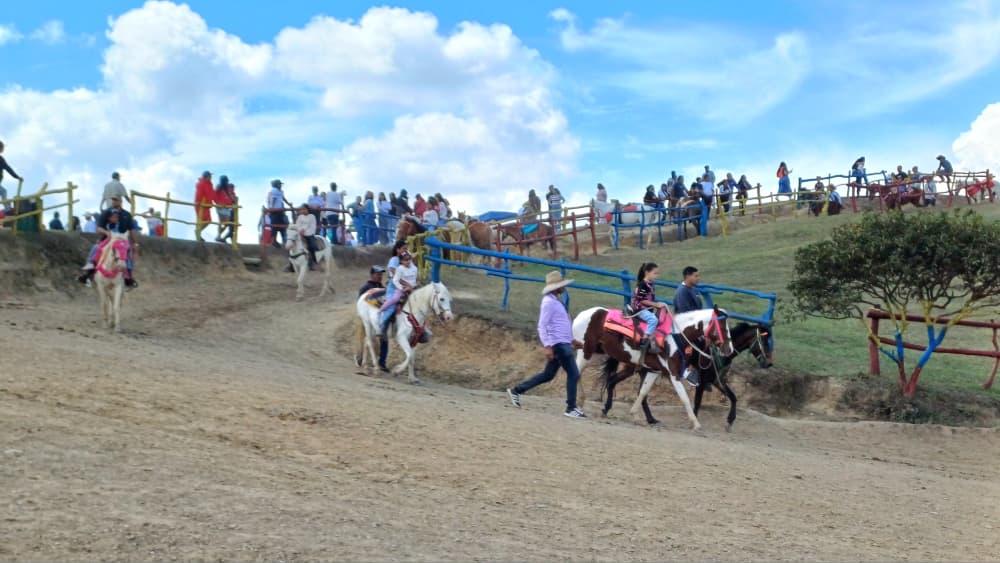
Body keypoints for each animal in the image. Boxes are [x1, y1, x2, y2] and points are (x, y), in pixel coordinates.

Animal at [573, 305, 734, 430]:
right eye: (723, 326)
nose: (729, 349)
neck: (674, 338)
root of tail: (581, 314)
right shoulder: (674, 374)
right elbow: (684, 398)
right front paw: (696, 424)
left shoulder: (654, 371)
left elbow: (643, 392)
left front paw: (635, 415)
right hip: (586, 351)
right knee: (576, 371)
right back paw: (579, 402)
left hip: (598, 353)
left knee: (590, 374)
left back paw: (590, 404)